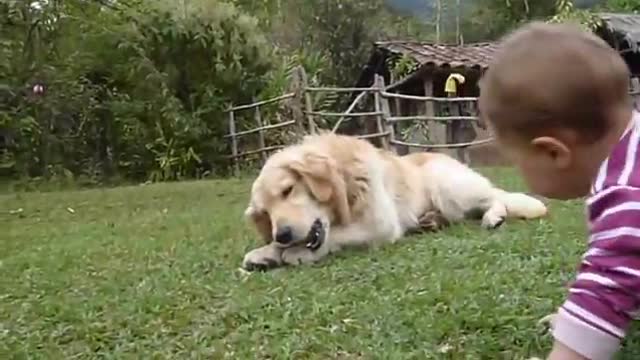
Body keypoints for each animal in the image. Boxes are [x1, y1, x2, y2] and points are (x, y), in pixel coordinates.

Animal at [242, 132, 548, 270]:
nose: (281, 235)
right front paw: (266, 252)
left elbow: (337, 235)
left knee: (495, 197)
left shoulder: (380, 223)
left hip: (447, 186)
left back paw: (493, 216)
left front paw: (293, 253)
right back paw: (430, 221)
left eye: (288, 190)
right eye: (266, 213)